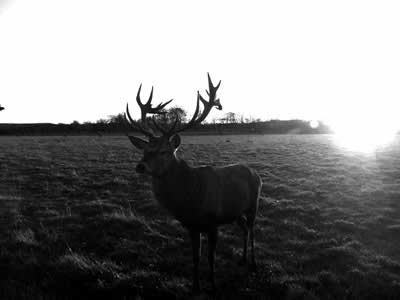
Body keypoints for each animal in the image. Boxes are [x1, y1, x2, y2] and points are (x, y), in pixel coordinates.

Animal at [125, 74, 262, 292]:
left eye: (164, 151)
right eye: (145, 150)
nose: (141, 166)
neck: (191, 200)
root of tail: (255, 172)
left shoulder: (213, 223)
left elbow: (211, 257)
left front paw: (213, 285)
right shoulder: (191, 226)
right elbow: (196, 257)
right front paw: (195, 286)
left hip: (253, 205)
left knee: (253, 230)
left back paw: (254, 264)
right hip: (236, 212)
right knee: (245, 229)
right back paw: (242, 259)